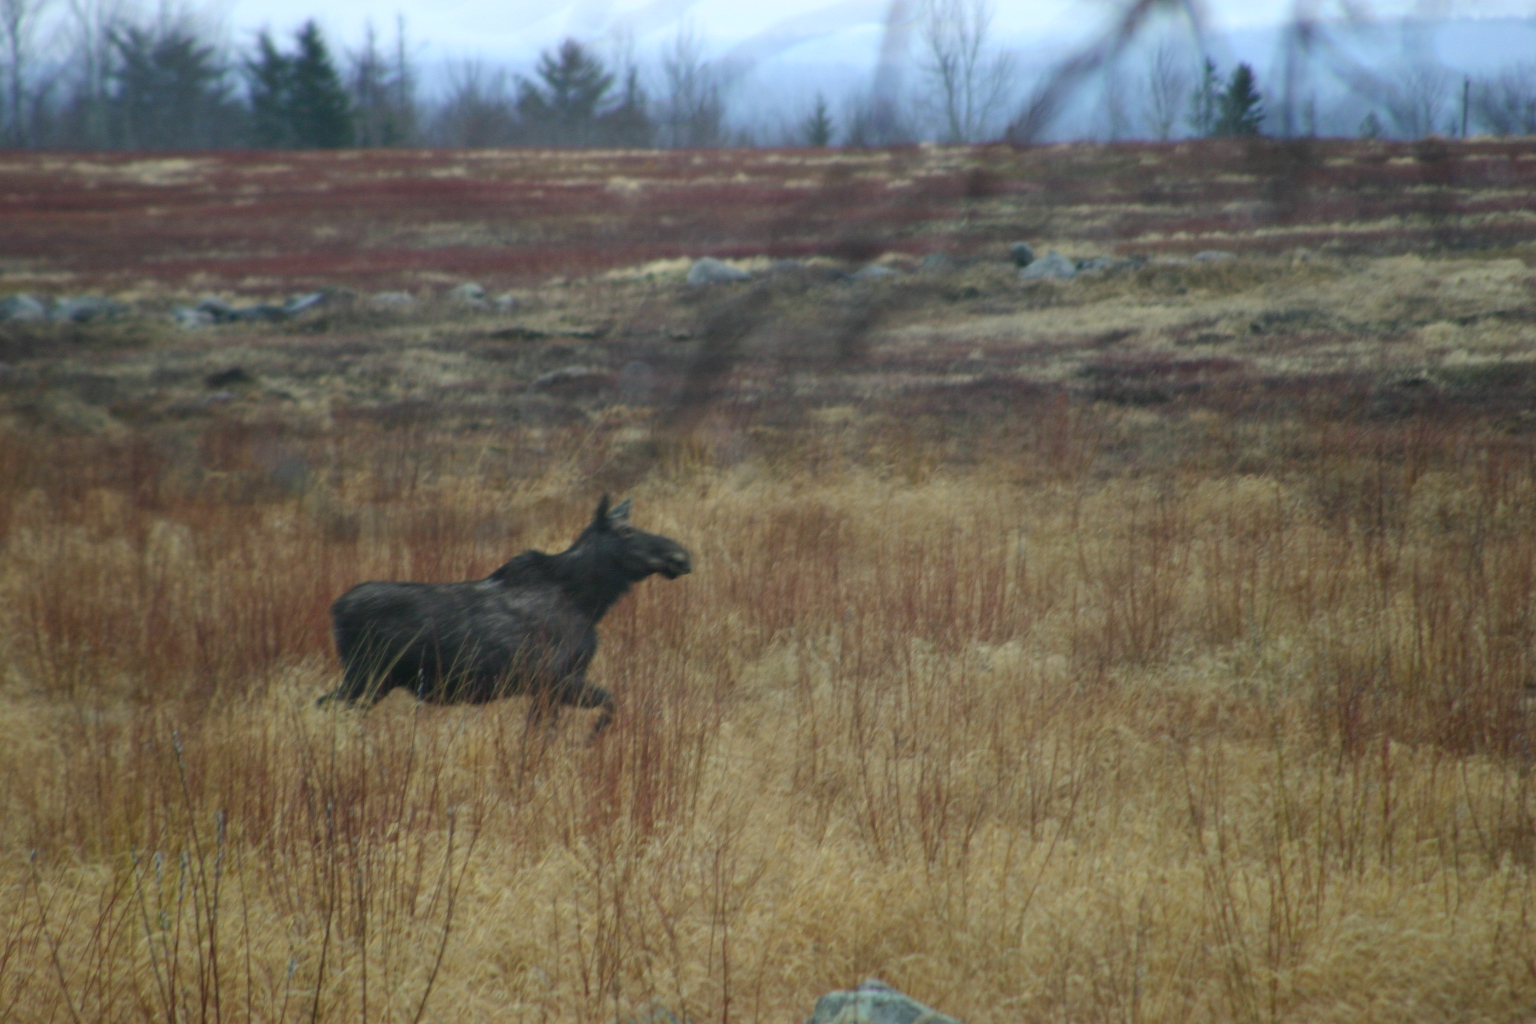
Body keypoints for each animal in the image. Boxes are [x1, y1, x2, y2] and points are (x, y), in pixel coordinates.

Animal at [321, 497, 694, 733]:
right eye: (626, 532)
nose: (681, 555)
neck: (589, 602)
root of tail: (336, 610)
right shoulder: (554, 680)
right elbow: (607, 706)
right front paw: (591, 740)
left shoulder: (546, 689)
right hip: (366, 676)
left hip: (373, 682)